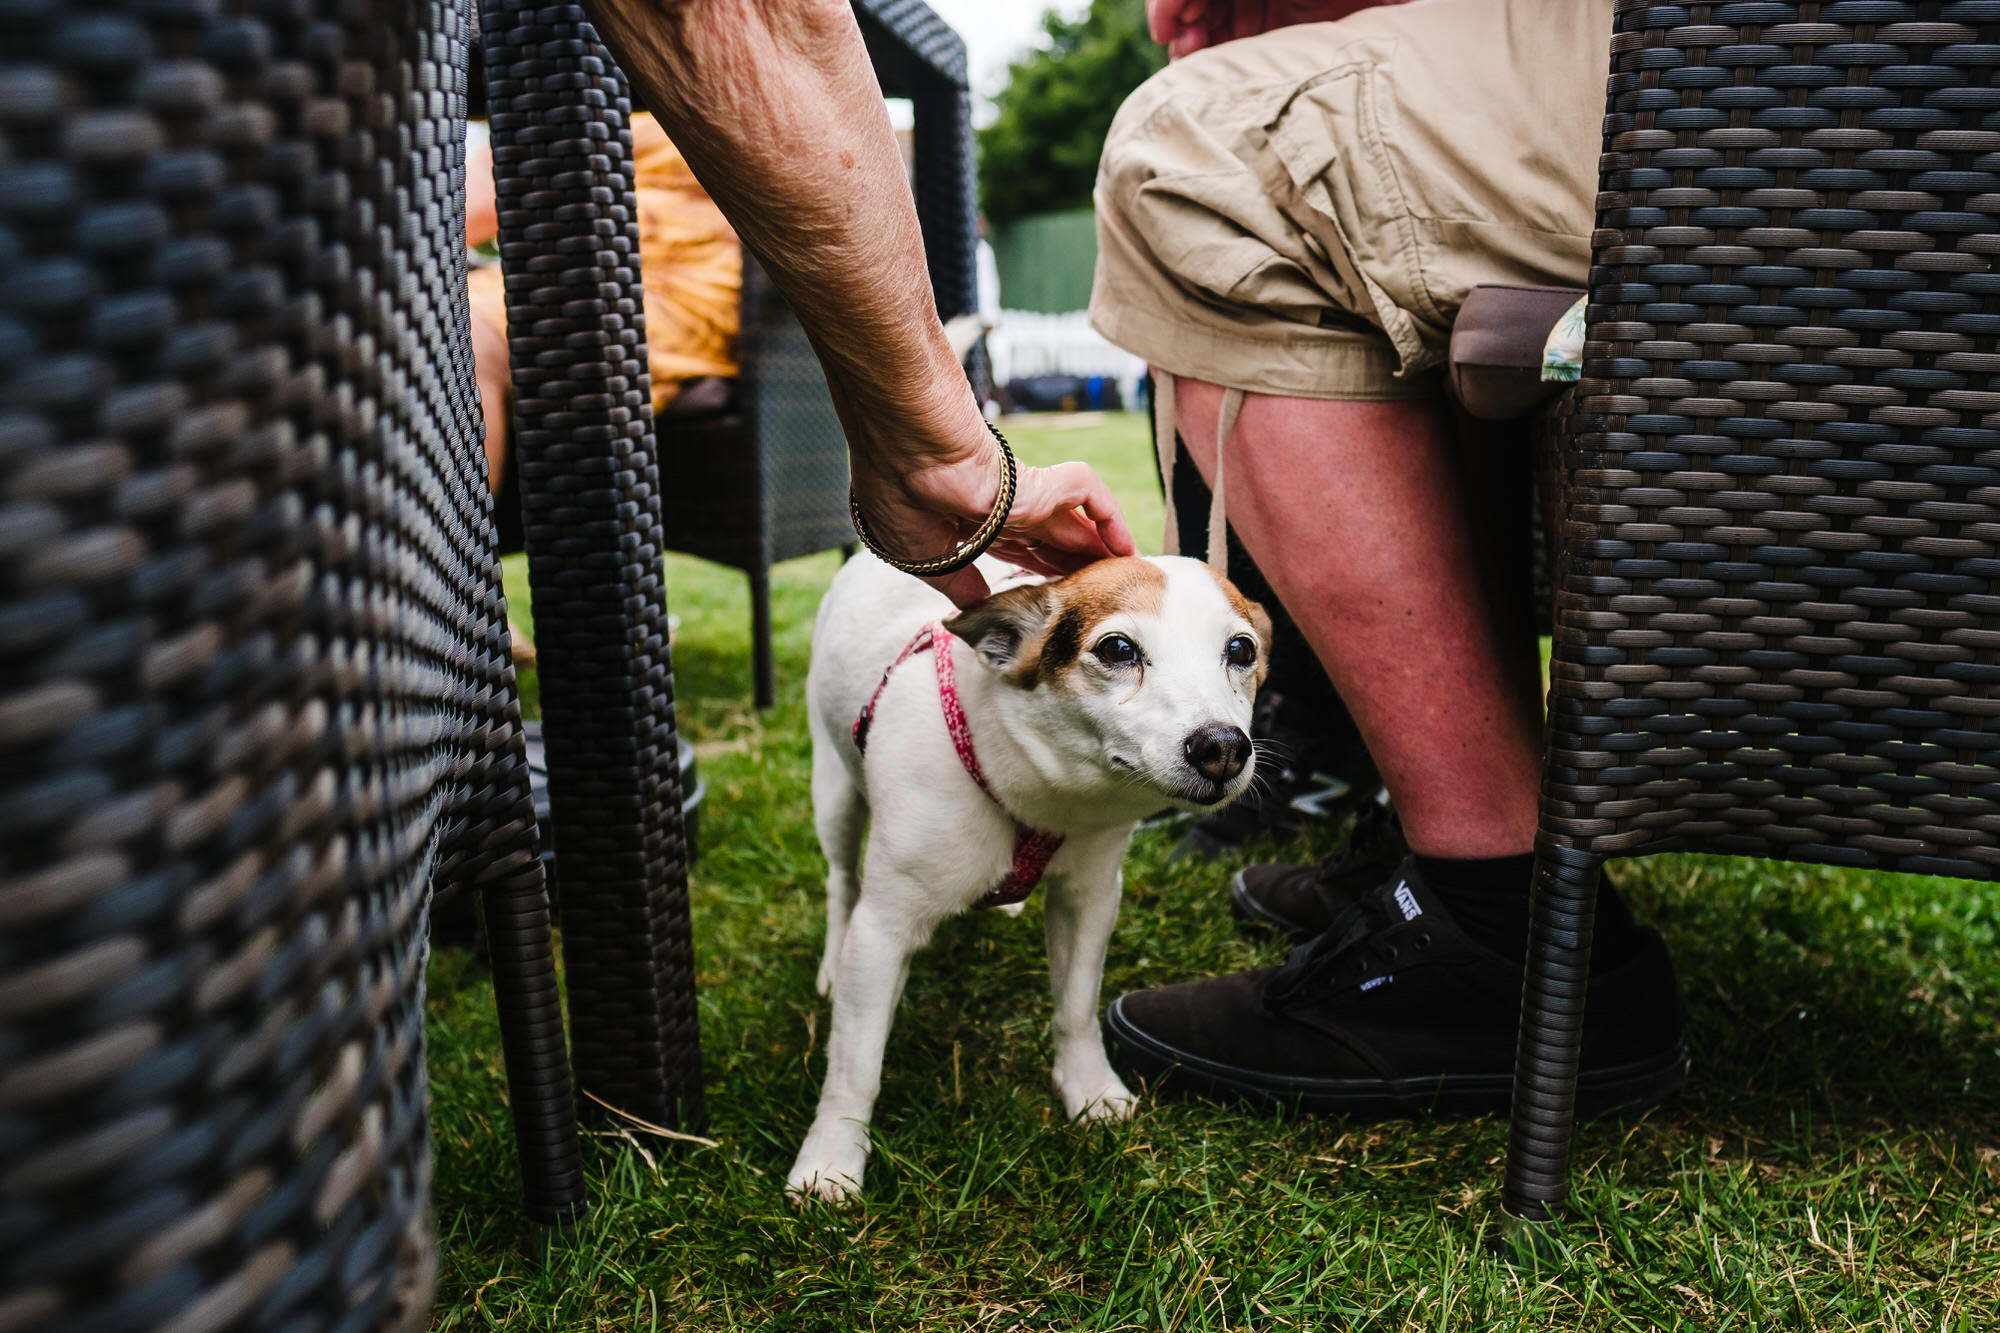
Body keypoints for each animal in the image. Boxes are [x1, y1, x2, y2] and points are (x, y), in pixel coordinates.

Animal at [784, 544, 1264, 1200]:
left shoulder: (1090, 897)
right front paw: (830, 1159)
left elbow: (1076, 1008)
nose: (1223, 748)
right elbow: (855, 1064)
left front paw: (1089, 1091)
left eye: (1242, 650)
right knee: (841, 882)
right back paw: (833, 962)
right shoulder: (882, 930)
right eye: (1118, 649)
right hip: (834, 792)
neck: (1040, 791)